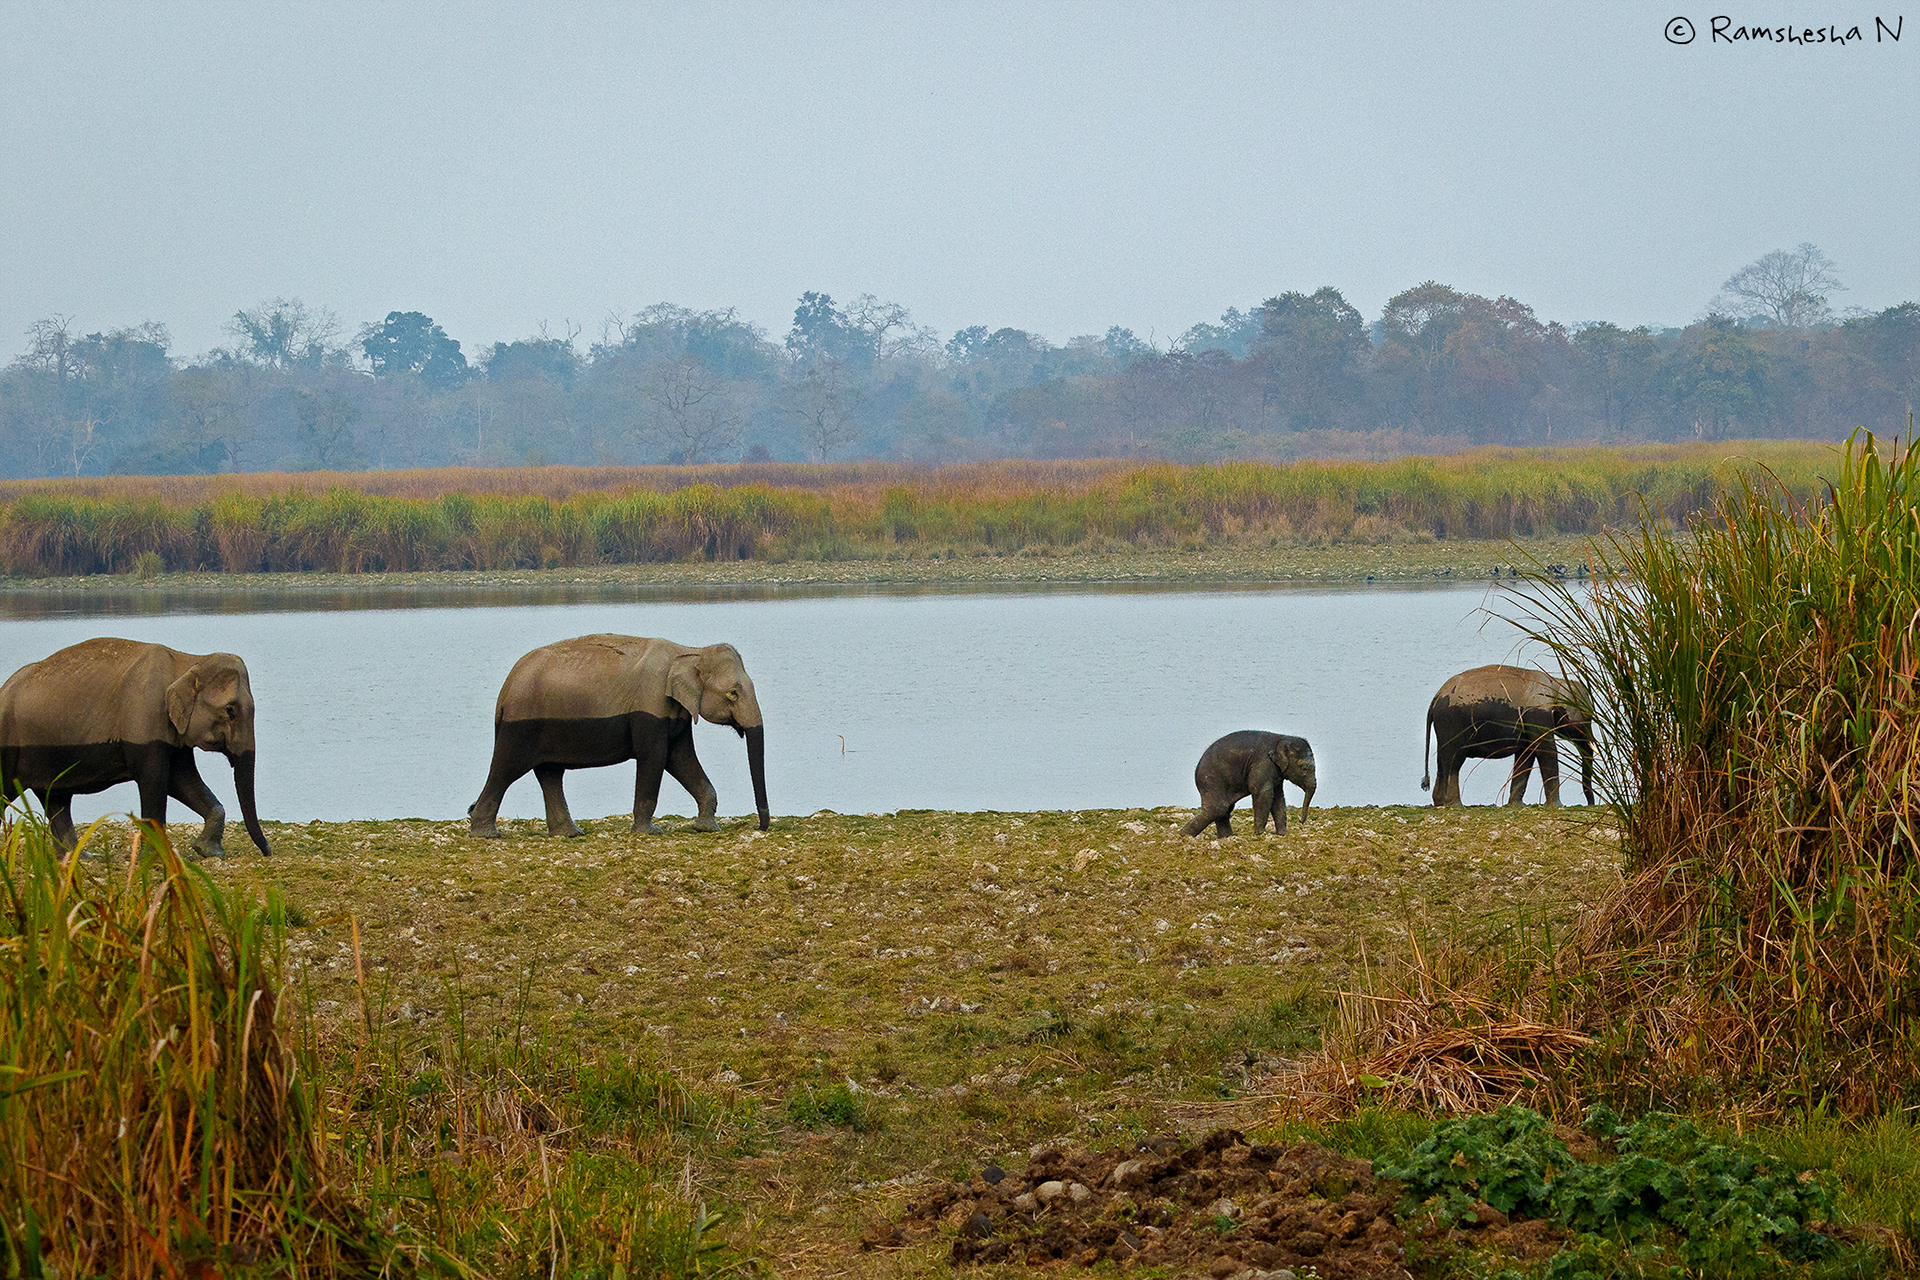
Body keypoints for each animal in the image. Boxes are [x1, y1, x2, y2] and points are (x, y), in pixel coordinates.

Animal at [0, 637, 270, 857]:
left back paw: (81, 858)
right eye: (230, 711)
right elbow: (156, 781)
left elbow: (182, 780)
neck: (187, 660)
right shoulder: (146, 718)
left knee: (56, 799)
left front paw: (208, 852)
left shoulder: (173, 736)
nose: (267, 852)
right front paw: (155, 858)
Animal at [468, 635, 769, 838]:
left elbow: (680, 758)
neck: (689, 651)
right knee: (506, 768)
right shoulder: (650, 706)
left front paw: (706, 828)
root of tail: (505, 690)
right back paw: (486, 833)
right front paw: (650, 831)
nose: (759, 826)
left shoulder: (676, 712)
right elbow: (655, 757)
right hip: (521, 725)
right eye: (733, 693)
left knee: (550, 774)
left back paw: (570, 833)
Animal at [1182, 730, 1317, 837]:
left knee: (1225, 809)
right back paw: (1184, 836)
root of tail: (1196, 769)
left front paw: (1283, 834)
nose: (1301, 822)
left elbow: (1278, 797)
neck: (1282, 737)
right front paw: (1261, 833)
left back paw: (1227, 837)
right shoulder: (1262, 763)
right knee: (1217, 809)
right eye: (1304, 768)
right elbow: (1263, 792)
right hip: (1210, 780)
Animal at [1421, 664, 1594, 807]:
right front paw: (1557, 806)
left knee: (1443, 762)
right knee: (1454, 762)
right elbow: (1546, 750)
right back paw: (1456, 806)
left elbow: (1526, 755)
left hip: (1445, 728)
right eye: (1587, 719)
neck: (1555, 682)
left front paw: (1517, 805)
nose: (1590, 804)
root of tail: (1435, 699)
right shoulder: (1537, 714)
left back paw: (1440, 803)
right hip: (1452, 724)